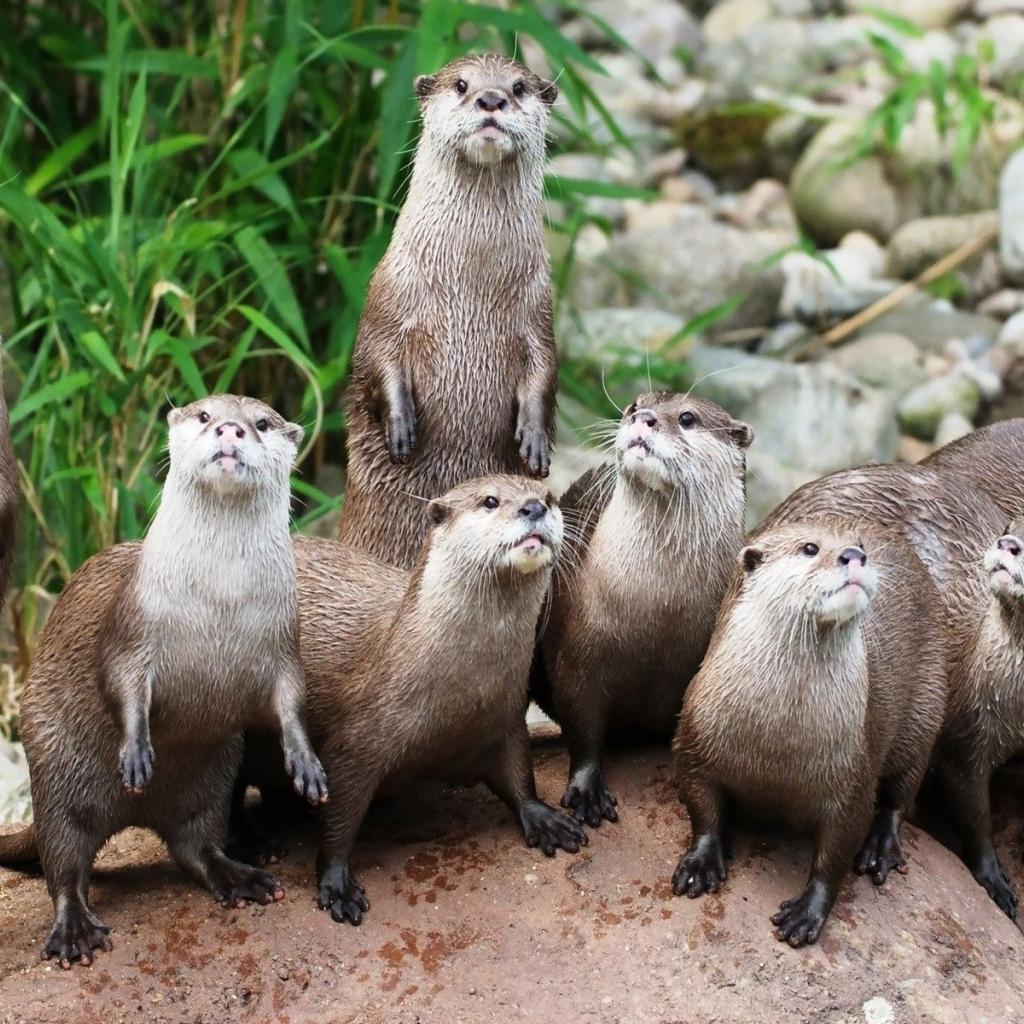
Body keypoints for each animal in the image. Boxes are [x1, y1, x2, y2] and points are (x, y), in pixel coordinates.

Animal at [0, 395, 327, 968]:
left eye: (262, 423)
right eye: (204, 415)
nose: (230, 428)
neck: (219, 601)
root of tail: (134, 813)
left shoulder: (284, 638)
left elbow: (290, 698)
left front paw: (305, 762)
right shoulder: (132, 626)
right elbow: (120, 680)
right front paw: (136, 752)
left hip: (212, 776)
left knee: (195, 844)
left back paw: (238, 876)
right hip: (54, 771)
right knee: (64, 862)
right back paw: (74, 929)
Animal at [299, 475, 585, 925]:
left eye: (551, 497)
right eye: (490, 501)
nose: (535, 507)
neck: (458, 696)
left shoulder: (505, 717)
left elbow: (519, 773)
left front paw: (543, 816)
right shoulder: (355, 742)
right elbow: (338, 814)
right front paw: (336, 882)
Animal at [337, 54, 559, 569]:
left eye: (519, 87)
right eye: (461, 84)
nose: (492, 98)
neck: (471, 279)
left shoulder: (537, 305)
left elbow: (546, 367)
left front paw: (534, 442)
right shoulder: (391, 293)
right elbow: (375, 356)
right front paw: (400, 428)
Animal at [535, 392, 752, 828]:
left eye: (687, 418)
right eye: (635, 405)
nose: (644, 418)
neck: (657, 611)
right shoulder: (578, 654)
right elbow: (581, 723)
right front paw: (586, 792)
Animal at [672, 519, 947, 947]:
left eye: (860, 546)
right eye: (809, 548)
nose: (855, 555)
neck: (779, 745)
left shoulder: (853, 779)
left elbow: (835, 854)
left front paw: (807, 912)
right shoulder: (694, 741)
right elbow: (702, 807)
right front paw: (700, 864)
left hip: (926, 710)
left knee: (903, 789)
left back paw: (881, 847)